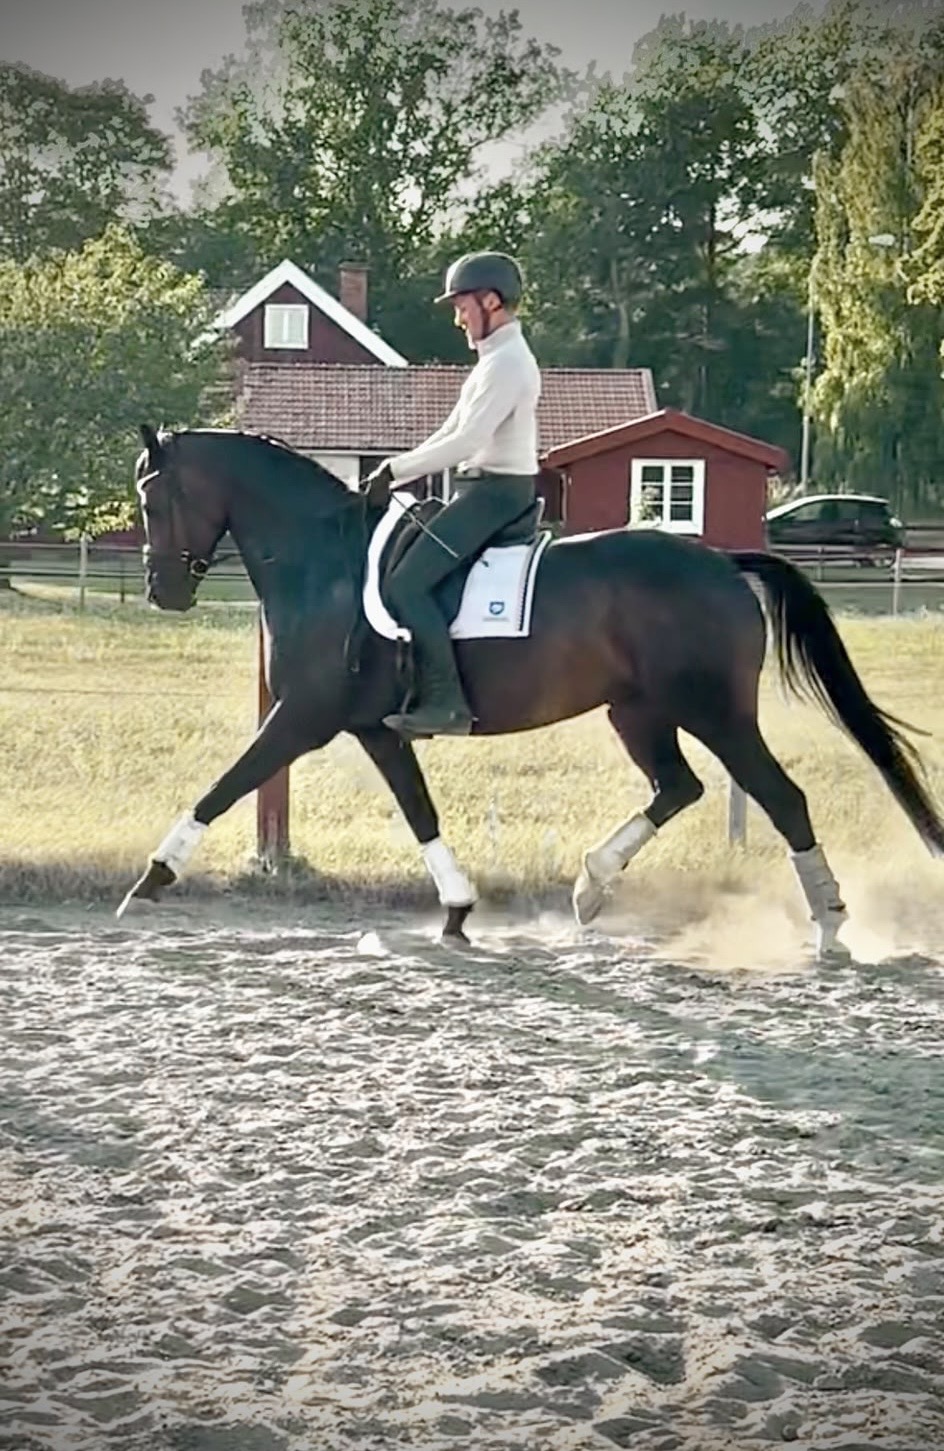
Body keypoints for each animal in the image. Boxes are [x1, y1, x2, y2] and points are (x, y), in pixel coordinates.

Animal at [118, 424, 944, 958]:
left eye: (153, 499)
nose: (162, 591)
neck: (325, 562)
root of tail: (720, 560)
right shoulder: (376, 728)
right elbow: (419, 810)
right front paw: (457, 910)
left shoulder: (303, 717)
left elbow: (224, 786)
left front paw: (149, 880)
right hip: (638, 710)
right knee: (678, 787)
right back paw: (591, 887)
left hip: (717, 713)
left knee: (780, 798)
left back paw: (830, 922)